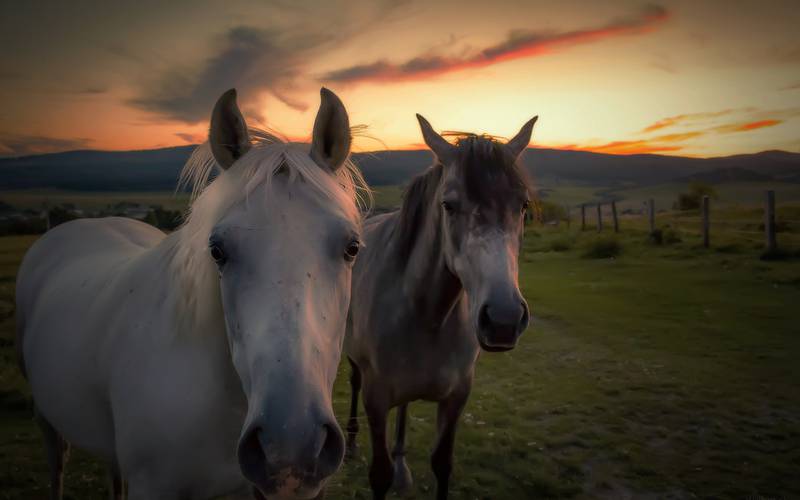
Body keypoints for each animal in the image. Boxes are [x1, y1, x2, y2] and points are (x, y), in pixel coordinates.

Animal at [344, 114, 536, 500]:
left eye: (522, 206)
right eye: (448, 205)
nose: (504, 319)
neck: (426, 314)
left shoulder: (457, 397)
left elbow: (442, 464)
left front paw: (403, 467)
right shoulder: (376, 399)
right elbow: (379, 475)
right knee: (353, 382)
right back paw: (353, 443)